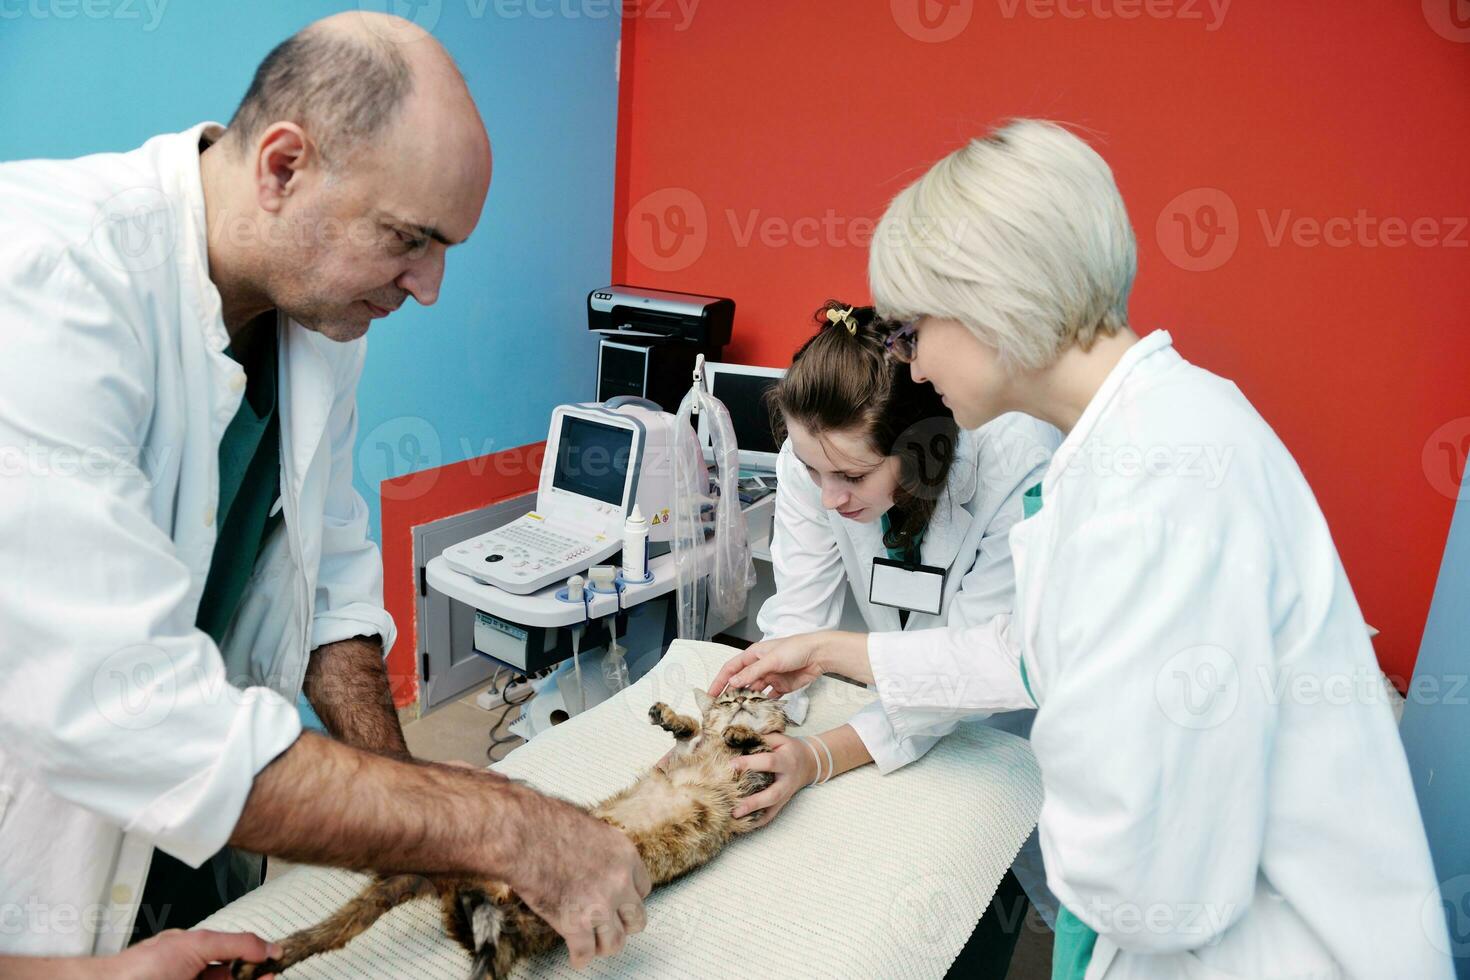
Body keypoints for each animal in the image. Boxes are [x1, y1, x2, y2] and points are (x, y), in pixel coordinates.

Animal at [233, 690, 793, 980]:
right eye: (731, 694)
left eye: (748, 695)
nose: (741, 697)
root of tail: (477, 893)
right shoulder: (678, 757)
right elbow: (688, 730)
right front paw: (680, 717)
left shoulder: (749, 792)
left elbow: (761, 744)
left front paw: (745, 733)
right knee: (337, 930)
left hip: (486, 917)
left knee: (340, 932)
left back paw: (260, 961)